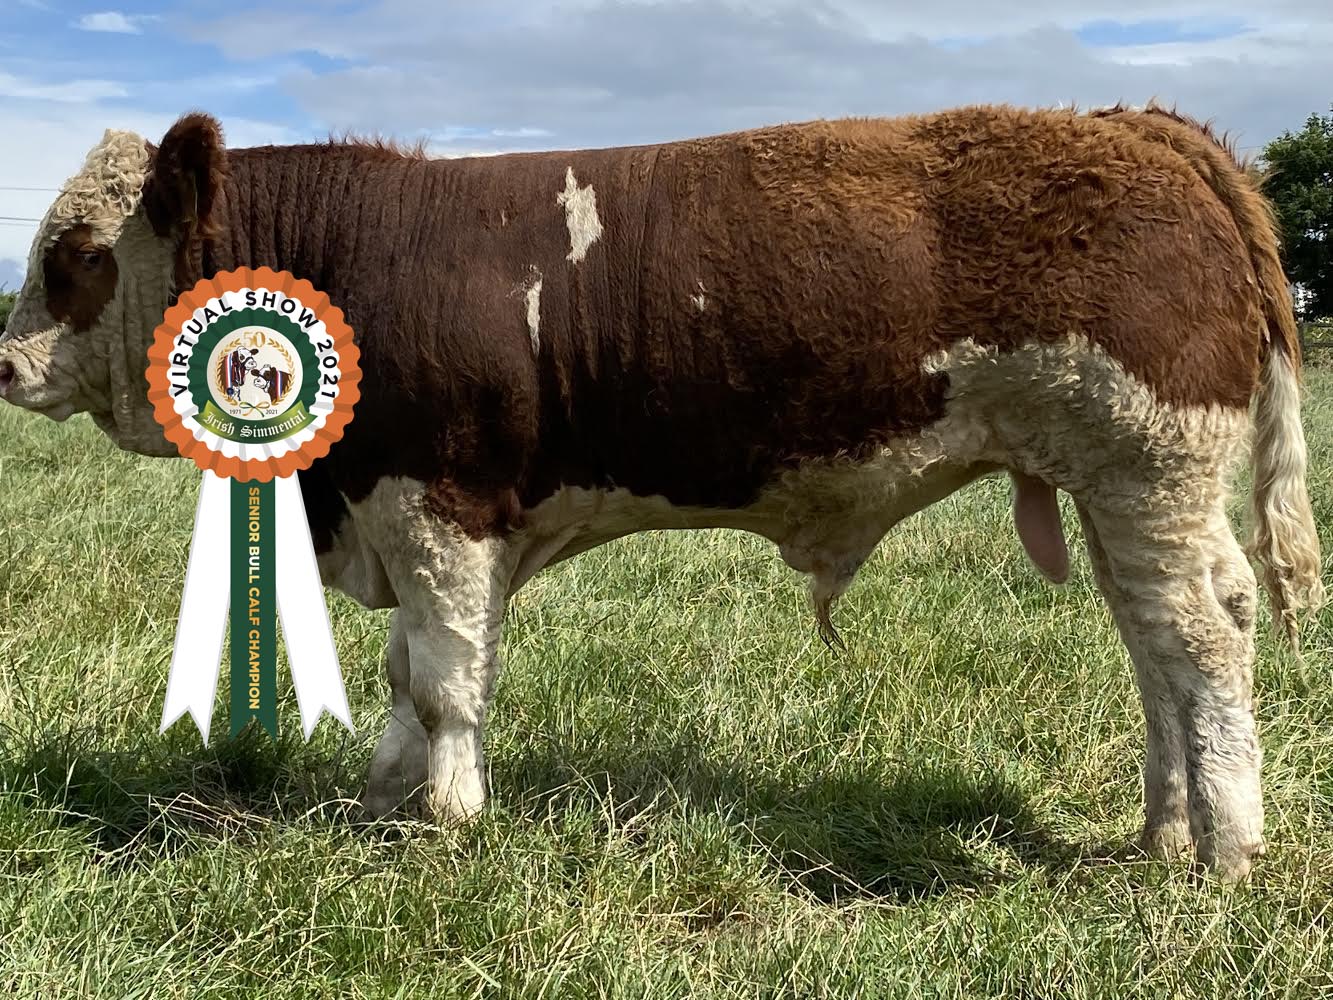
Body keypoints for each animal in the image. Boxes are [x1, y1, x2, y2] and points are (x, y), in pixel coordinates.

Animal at [0, 104, 1323, 881]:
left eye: (79, 256)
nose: (6, 365)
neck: (363, 259)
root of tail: (1145, 127)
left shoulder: (441, 503)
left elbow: (446, 678)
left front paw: (449, 818)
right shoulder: (401, 510)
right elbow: (407, 673)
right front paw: (383, 802)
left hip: (1150, 468)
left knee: (1205, 638)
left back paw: (1227, 851)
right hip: (1114, 489)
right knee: (1152, 647)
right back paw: (1163, 831)